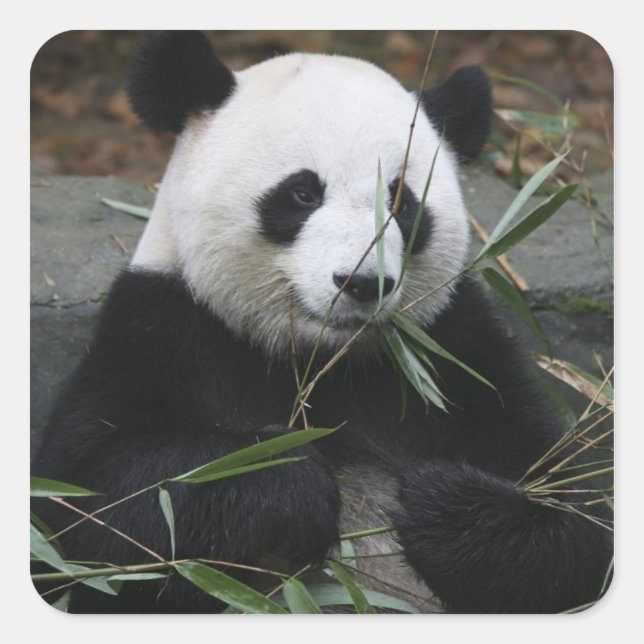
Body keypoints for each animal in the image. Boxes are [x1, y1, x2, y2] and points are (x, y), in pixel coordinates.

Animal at [32, 31, 611, 614]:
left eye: (400, 201)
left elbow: (576, 512)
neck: (323, 361)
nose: (362, 283)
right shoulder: (162, 329)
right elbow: (94, 507)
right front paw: (286, 479)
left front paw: (437, 502)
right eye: (303, 193)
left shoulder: (456, 350)